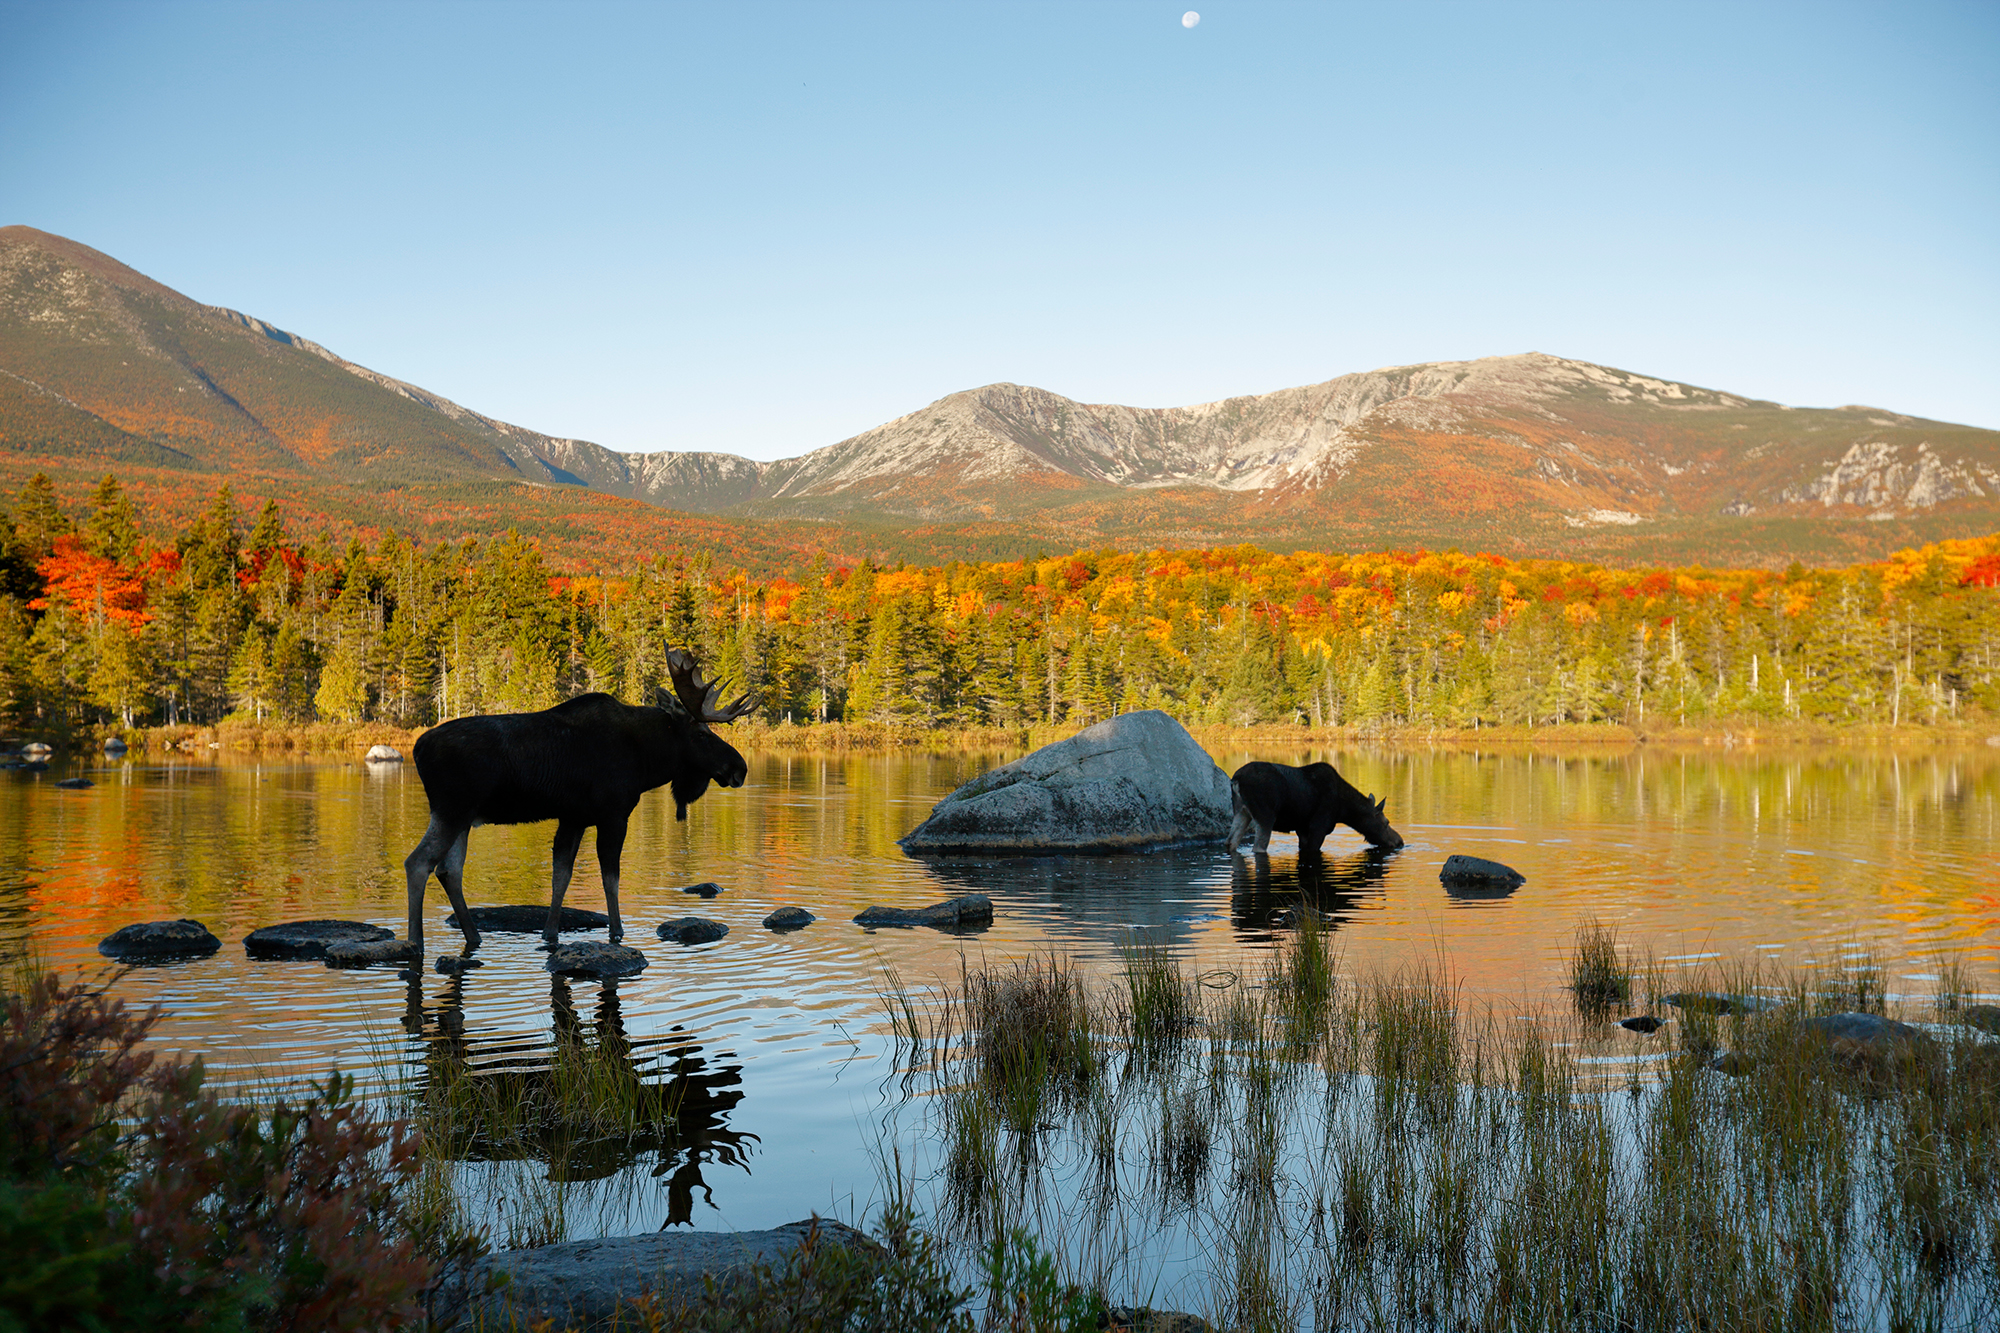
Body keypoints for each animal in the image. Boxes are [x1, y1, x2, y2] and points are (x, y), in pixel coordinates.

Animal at [402, 644, 752, 948]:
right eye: (702, 734)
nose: (740, 768)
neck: (647, 762)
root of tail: (417, 749)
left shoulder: (574, 817)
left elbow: (561, 877)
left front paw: (550, 933)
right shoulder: (613, 814)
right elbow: (610, 878)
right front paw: (617, 931)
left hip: (463, 818)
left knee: (449, 870)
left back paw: (473, 936)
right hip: (451, 810)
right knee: (418, 862)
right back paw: (416, 941)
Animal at [1216, 756, 1408, 852]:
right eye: (1386, 822)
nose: (1400, 841)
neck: (1344, 811)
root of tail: (1236, 779)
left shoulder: (1302, 829)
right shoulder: (1318, 827)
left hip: (1241, 811)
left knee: (1230, 841)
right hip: (1265, 816)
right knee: (1258, 847)